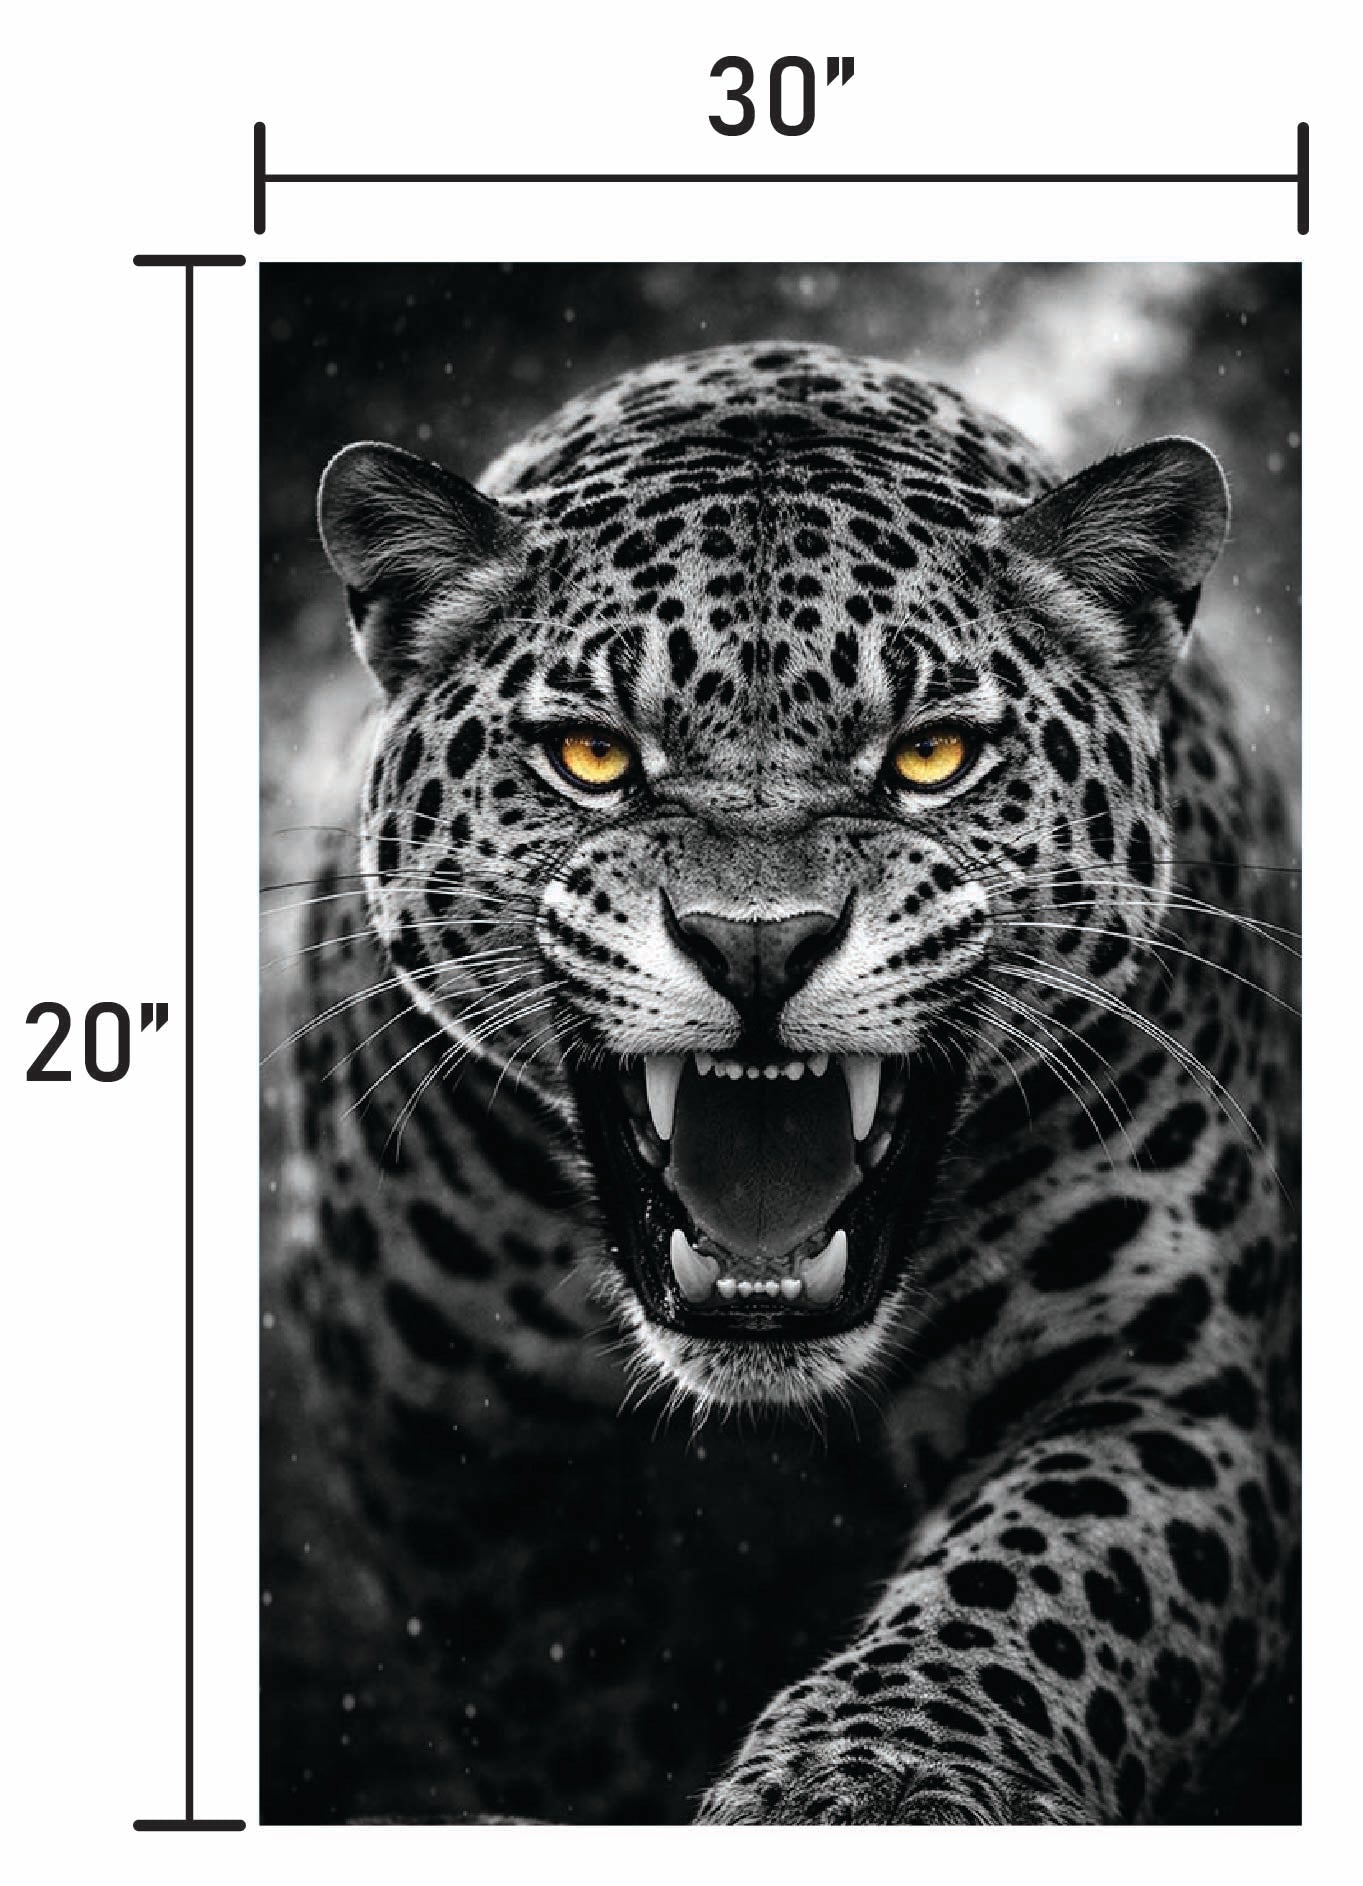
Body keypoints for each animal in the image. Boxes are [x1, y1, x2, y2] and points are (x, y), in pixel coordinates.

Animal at [275, 339, 1300, 1825]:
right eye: (592, 755)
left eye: (930, 754)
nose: (754, 942)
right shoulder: (449, 1428)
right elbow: (556, 1681)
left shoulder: (1160, 1379)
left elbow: (1029, 1588)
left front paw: (874, 1780)